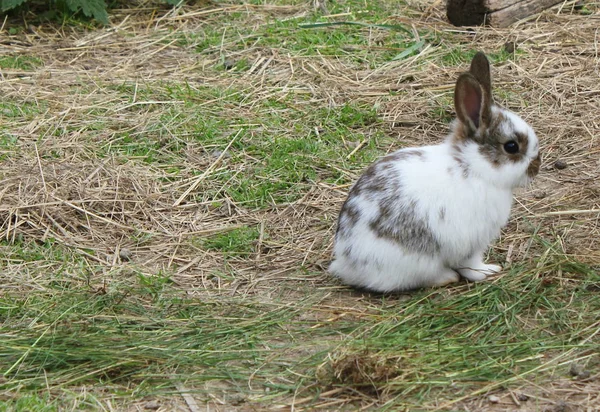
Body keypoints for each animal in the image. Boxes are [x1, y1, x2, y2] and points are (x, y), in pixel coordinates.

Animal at [330, 52, 540, 292]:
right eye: (511, 146)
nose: (537, 166)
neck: (472, 167)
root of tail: (347, 262)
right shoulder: (471, 242)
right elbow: (470, 265)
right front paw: (487, 271)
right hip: (417, 261)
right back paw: (446, 277)